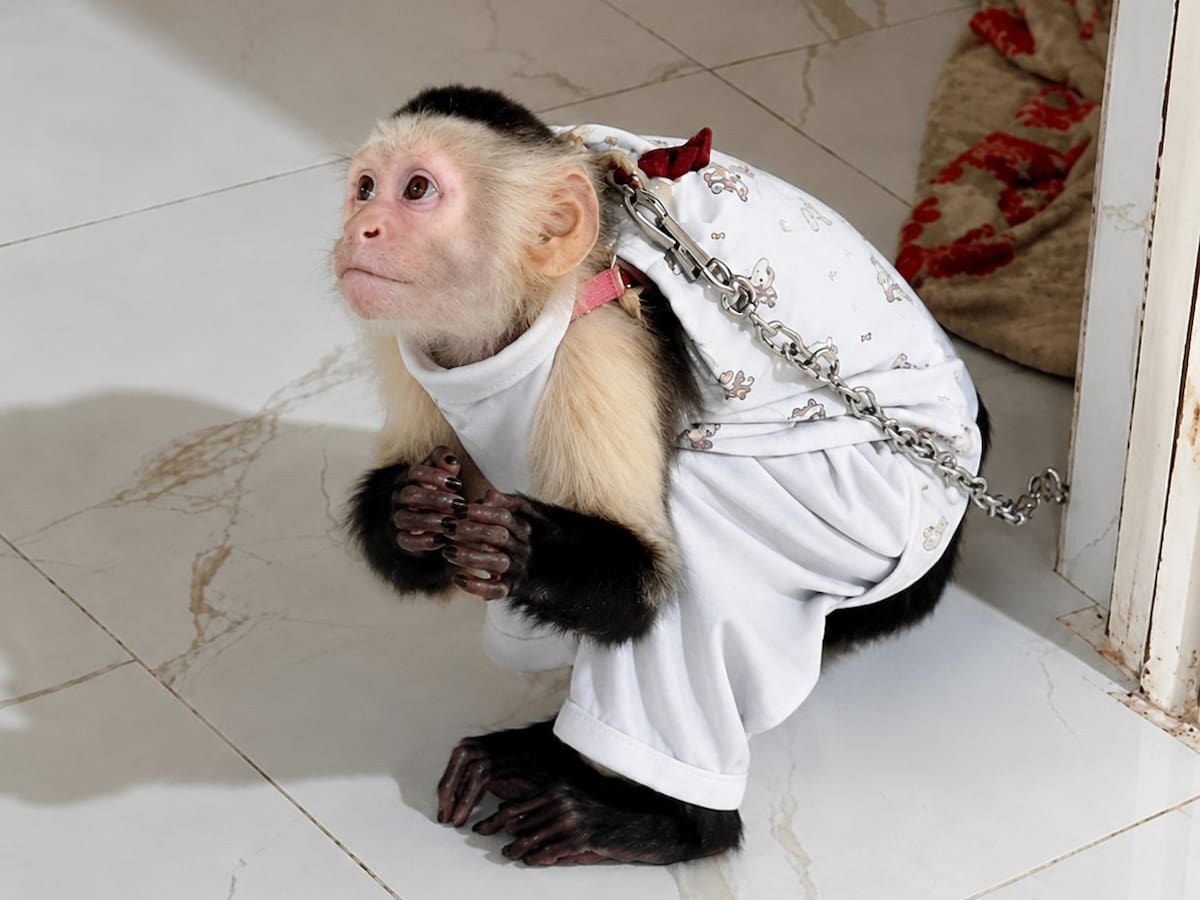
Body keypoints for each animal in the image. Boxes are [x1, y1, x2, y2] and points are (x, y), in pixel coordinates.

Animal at [335, 85, 990, 866]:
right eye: (365, 188)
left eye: (417, 190)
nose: (362, 228)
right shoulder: (413, 343)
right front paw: (411, 513)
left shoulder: (604, 342)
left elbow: (641, 586)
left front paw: (520, 549)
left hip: (879, 516)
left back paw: (663, 821)